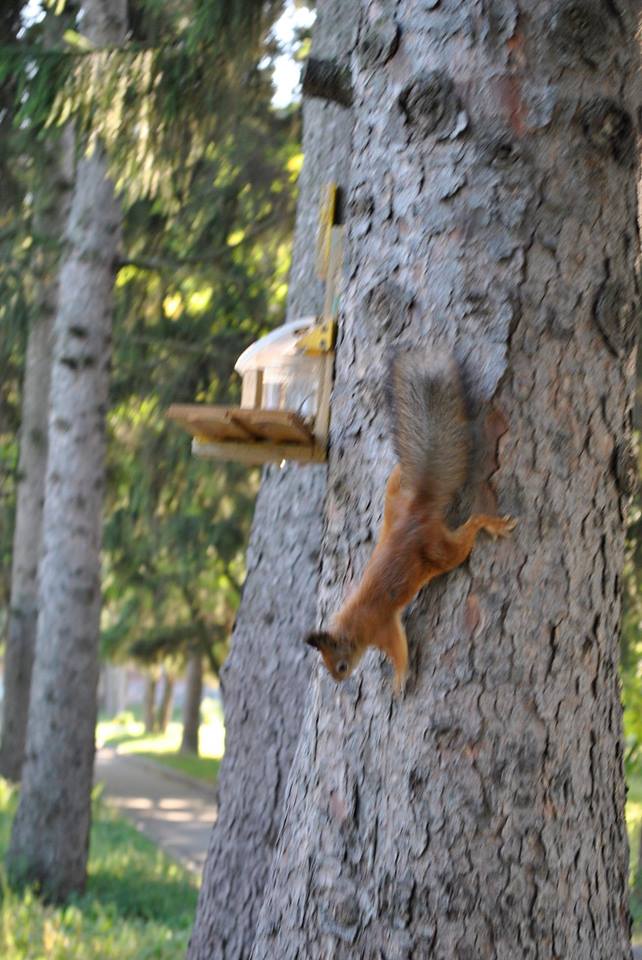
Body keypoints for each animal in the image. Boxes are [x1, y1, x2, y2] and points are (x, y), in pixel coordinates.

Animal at [304, 348, 516, 692]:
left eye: (340, 665)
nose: (339, 680)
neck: (355, 623)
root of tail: (417, 512)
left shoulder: (384, 628)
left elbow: (399, 649)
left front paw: (400, 679)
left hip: (439, 551)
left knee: (466, 534)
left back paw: (488, 524)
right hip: (395, 507)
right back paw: (399, 470)